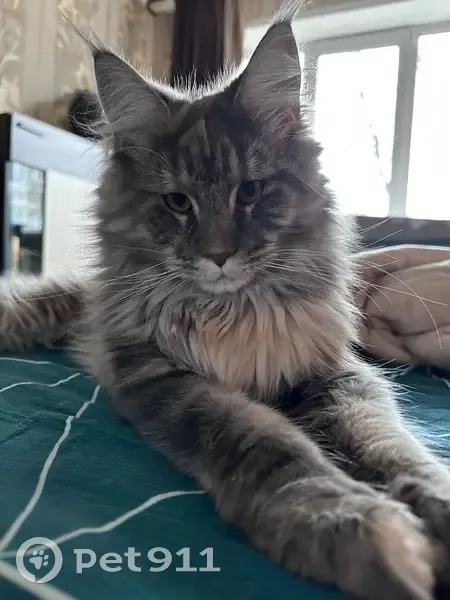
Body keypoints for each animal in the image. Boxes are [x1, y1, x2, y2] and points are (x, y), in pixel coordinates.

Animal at [0, 10, 449, 600]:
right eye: (177, 202)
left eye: (251, 192)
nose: (218, 255)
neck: (234, 313)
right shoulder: (164, 377)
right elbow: (269, 444)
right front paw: (346, 523)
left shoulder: (336, 374)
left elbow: (389, 445)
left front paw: (435, 505)